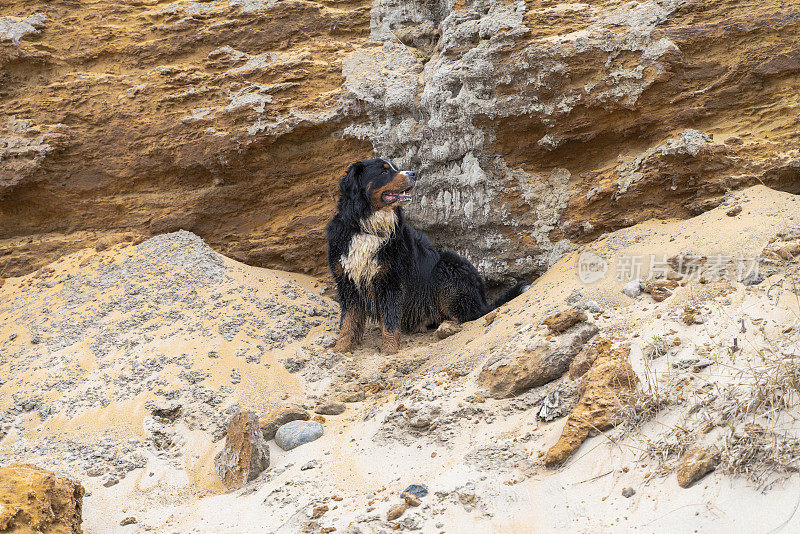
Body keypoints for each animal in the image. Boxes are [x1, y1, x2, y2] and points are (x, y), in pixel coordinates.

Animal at [324, 159, 532, 356]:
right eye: (383, 171)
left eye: (395, 167)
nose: (413, 173)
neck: (367, 228)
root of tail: (481, 296)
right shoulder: (347, 282)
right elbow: (348, 322)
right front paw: (340, 350)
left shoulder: (390, 281)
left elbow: (390, 322)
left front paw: (389, 351)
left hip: (448, 268)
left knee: (469, 315)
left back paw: (447, 327)